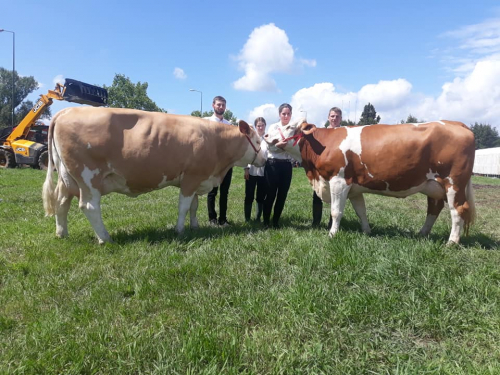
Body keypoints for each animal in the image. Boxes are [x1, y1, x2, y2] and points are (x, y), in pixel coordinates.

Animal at [43, 107, 266, 245]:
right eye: (256, 140)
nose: (265, 159)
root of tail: (66, 110)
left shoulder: (198, 179)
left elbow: (194, 207)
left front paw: (194, 226)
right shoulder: (191, 178)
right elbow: (184, 207)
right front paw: (179, 230)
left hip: (66, 178)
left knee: (62, 203)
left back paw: (62, 234)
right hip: (88, 178)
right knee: (89, 207)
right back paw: (105, 239)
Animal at [264, 119, 474, 245]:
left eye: (289, 127)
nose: (265, 135)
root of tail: (456, 123)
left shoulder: (338, 181)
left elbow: (336, 211)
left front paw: (332, 234)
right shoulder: (355, 188)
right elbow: (361, 211)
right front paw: (367, 231)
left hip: (453, 183)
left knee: (458, 210)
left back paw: (452, 242)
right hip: (433, 185)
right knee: (434, 208)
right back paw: (422, 233)